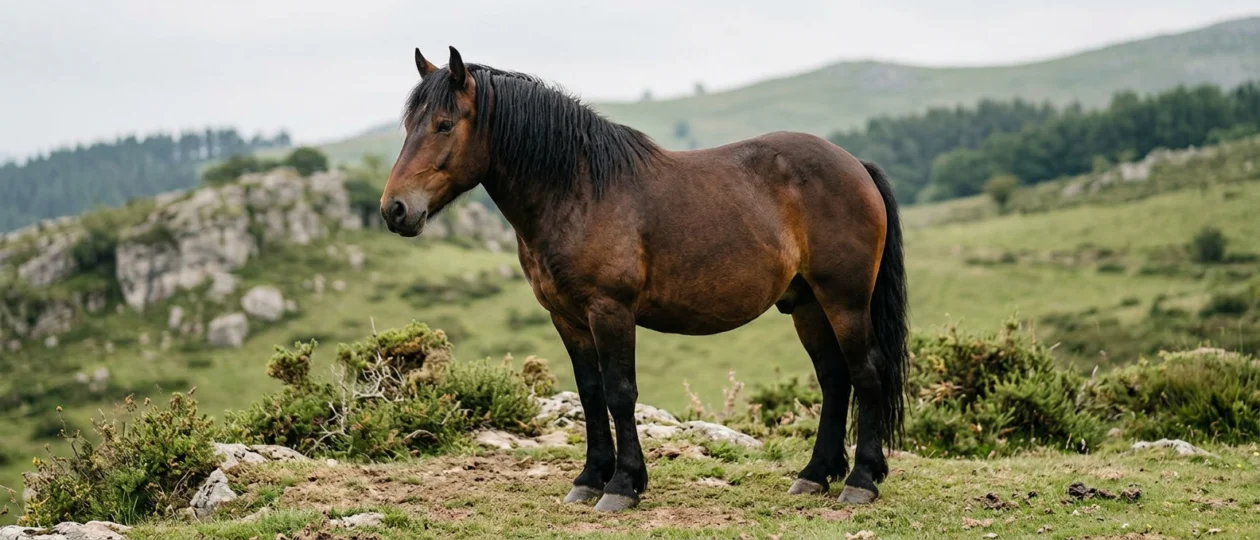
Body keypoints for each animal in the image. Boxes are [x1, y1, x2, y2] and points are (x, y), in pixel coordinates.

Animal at [380, 47, 909, 512]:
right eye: (408, 125)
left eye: (444, 124)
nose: (395, 210)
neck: (579, 190)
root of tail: (856, 165)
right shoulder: (567, 318)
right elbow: (590, 394)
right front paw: (589, 480)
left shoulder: (610, 310)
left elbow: (620, 392)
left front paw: (623, 486)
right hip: (807, 305)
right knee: (834, 379)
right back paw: (815, 475)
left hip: (844, 300)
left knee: (865, 373)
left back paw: (861, 481)